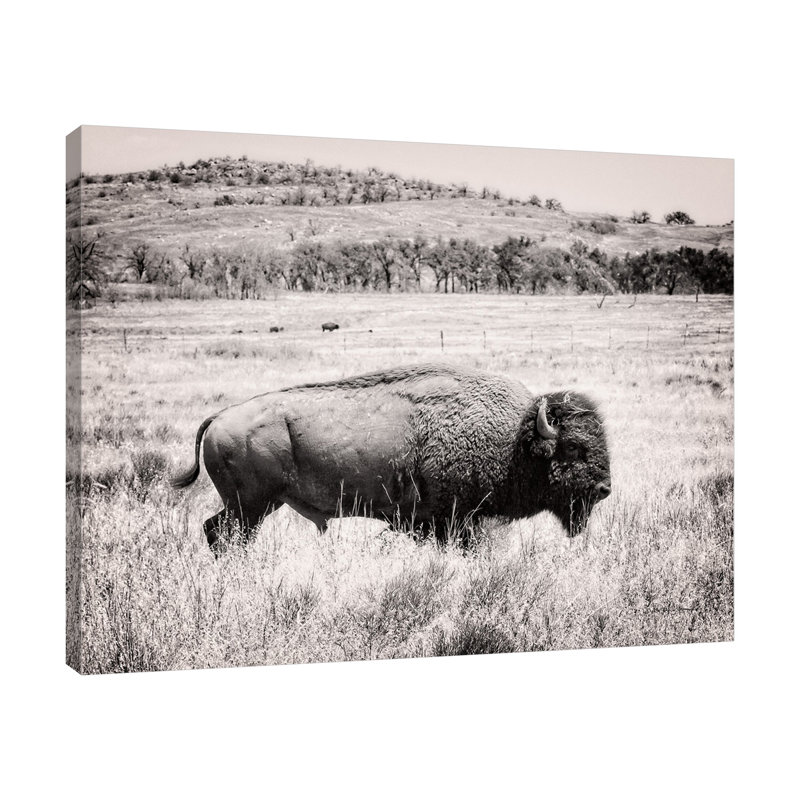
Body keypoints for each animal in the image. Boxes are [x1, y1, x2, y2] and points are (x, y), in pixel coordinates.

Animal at [173, 363, 611, 552]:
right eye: (573, 447)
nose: (605, 488)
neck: (514, 437)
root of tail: (219, 417)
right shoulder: (453, 521)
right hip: (250, 507)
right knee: (224, 534)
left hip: (252, 506)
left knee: (214, 530)